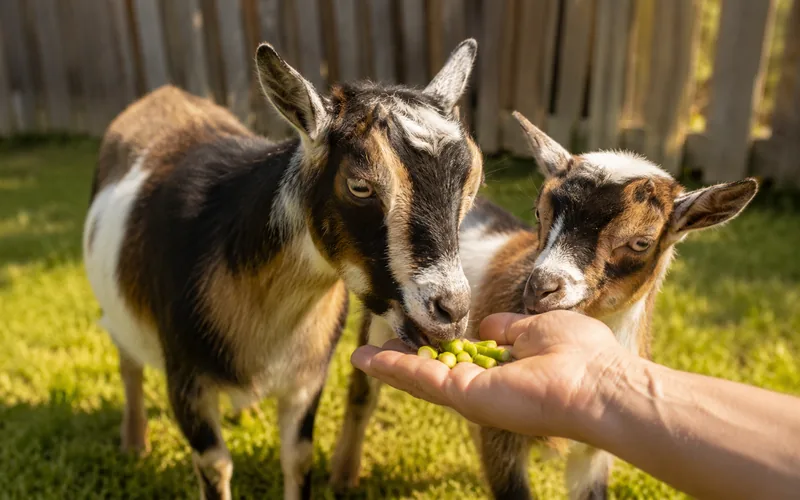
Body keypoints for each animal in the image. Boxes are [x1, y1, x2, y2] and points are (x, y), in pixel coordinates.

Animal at [82, 39, 483, 500]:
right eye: (359, 185)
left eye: (472, 182)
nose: (451, 310)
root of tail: (162, 94)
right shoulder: (185, 379)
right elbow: (215, 464)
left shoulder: (306, 379)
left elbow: (298, 457)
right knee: (127, 358)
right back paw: (134, 442)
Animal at [335, 111, 758, 499]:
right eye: (539, 212)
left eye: (641, 242)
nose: (540, 288)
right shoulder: (501, 436)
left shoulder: (595, 450)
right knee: (361, 394)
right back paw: (344, 479)